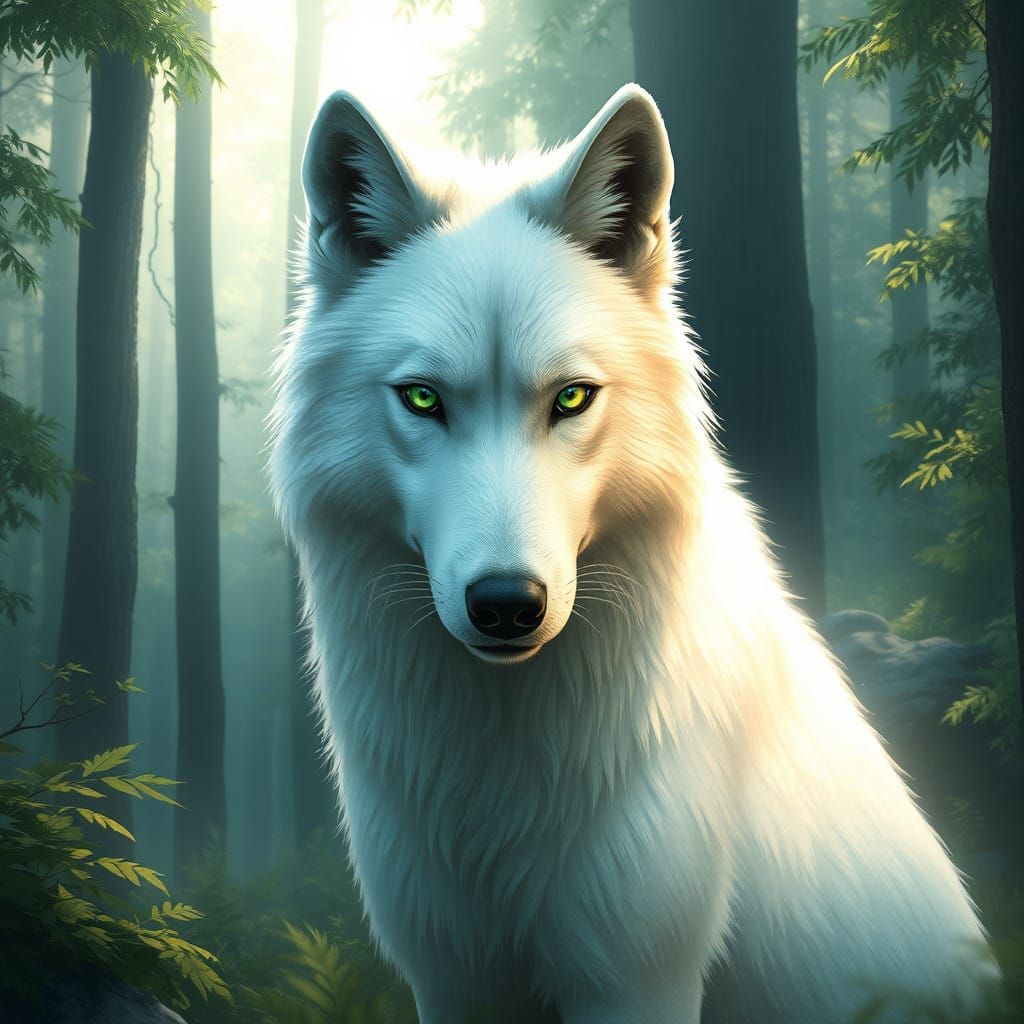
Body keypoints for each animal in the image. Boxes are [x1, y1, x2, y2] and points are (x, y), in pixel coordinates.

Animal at [269, 84, 994, 1023]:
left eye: (573, 398)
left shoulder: (635, 973)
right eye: (423, 399)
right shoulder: (454, 972)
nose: (507, 604)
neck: (504, 766)